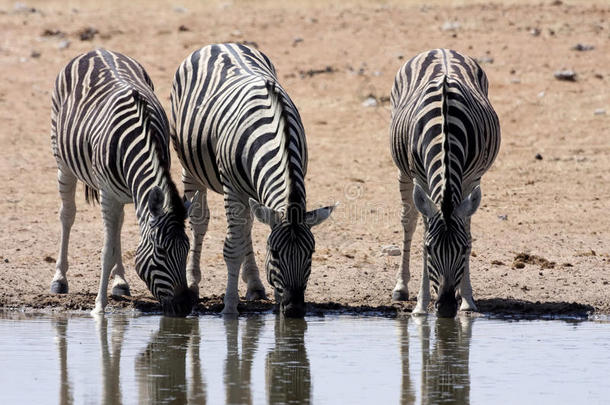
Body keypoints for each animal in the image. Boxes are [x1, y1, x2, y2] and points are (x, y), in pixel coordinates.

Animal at [52, 49, 196, 318]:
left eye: (187, 248)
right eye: (161, 251)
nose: (183, 307)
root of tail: (97, 50)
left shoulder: (129, 193)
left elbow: (116, 236)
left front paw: (116, 285)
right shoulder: (108, 193)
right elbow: (106, 250)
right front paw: (99, 307)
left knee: (117, 225)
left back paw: (119, 282)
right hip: (62, 162)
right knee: (67, 215)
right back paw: (59, 279)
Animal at [170, 43, 332, 316]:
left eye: (311, 252)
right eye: (274, 253)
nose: (295, 309)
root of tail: (219, 43)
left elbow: (247, 231)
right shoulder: (233, 188)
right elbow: (232, 246)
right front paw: (229, 308)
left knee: (246, 225)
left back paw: (254, 284)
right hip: (189, 167)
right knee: (199, 221)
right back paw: (192, 282)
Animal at [390, 49, 498, 318]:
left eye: (464, 248)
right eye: (429, 250)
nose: (447, 309)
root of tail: (441, 49)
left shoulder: (471, 178)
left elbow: (467, 229)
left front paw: (467, 298)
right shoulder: (420, 177)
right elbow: (423, 229)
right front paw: (421, 304)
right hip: (403, 171)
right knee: (408, 222)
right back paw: (401, 287)